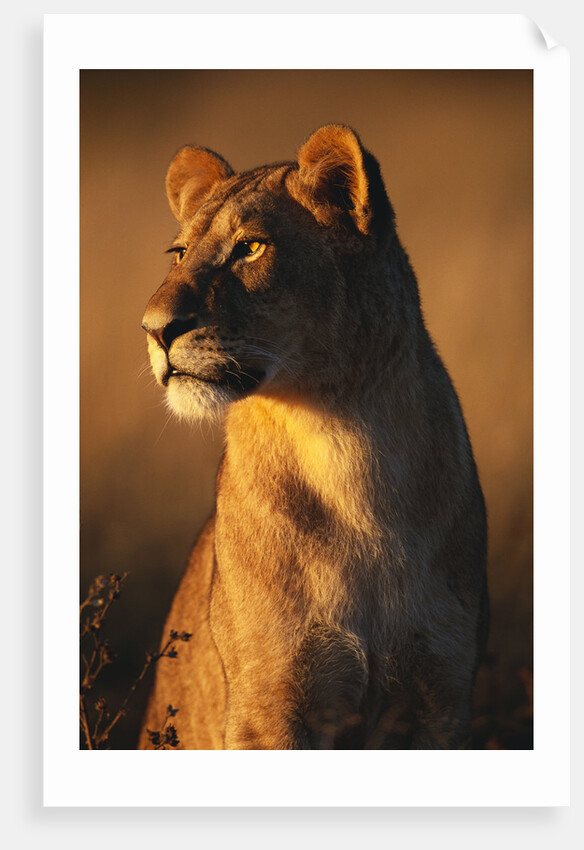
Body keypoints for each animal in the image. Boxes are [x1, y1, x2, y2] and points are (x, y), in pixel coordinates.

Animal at [139, 124, 488, 749]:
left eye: (251, 248)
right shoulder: (269, 702)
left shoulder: (443, 696)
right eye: (178, 254)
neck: (345, 441)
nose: (154, 330)